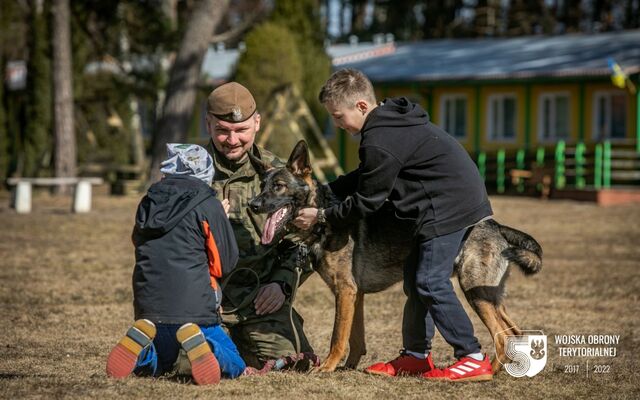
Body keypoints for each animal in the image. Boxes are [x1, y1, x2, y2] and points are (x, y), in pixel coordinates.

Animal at [248, 140, 544, 372]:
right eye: (261, 185)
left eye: (279, 186)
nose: (253, 204)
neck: (322, 220)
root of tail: (495, 226)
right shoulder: (355, 295)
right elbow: (356, 338)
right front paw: (348, 368)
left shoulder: (345, 292)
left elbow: (337, 337)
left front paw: (328, 367)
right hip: (490, 297)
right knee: (513, 332)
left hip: (475, 293)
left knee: (501, 337)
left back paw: (486, 371)